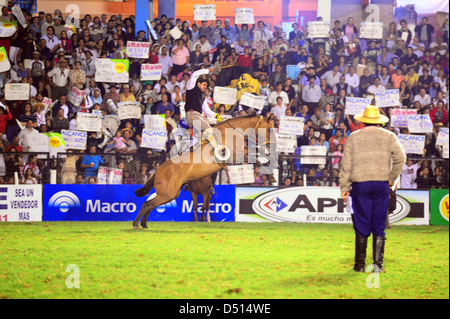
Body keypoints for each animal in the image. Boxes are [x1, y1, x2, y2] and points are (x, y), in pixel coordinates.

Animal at [134, 114, 274, 229]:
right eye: (269, 129)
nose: (270, 144)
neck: (233, 133)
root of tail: (158, 170)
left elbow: (253, 151)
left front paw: (267, 158)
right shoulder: (235, 156)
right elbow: (252, 156)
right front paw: (266, 168)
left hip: (171, 194)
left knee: (150, 205)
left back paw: (144, 224)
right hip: (167, 193)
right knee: (147, 204)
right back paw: (136, 224)